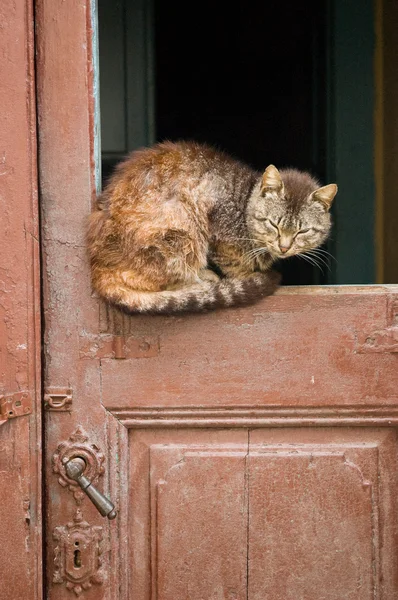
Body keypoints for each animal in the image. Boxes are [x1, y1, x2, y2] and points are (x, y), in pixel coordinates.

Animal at [87, 141, 336, 314]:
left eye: (302, 231)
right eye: (273, 224)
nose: (284, 247)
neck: (244, 204)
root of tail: (97, 264)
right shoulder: (221, 235)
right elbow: (236, 266)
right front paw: (245, 276)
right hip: (182, 229)